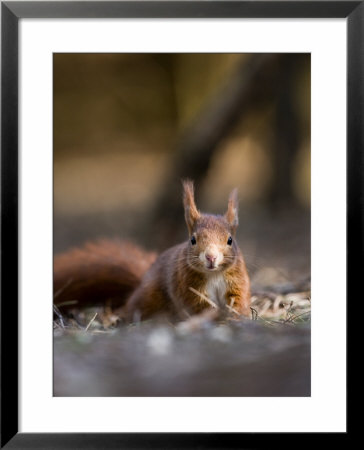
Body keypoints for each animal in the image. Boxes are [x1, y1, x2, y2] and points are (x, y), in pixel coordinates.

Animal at [53, 181, 250, 322]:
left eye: (230, 240)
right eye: (193, 240)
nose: (211, 257)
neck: (213, 274)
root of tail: (143, 279)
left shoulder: (237, 282)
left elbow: (239, 299)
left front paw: (235, 315)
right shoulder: (187, 286)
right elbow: (199, 305)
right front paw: (215, 314)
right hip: (148, 297)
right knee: (132, 307)